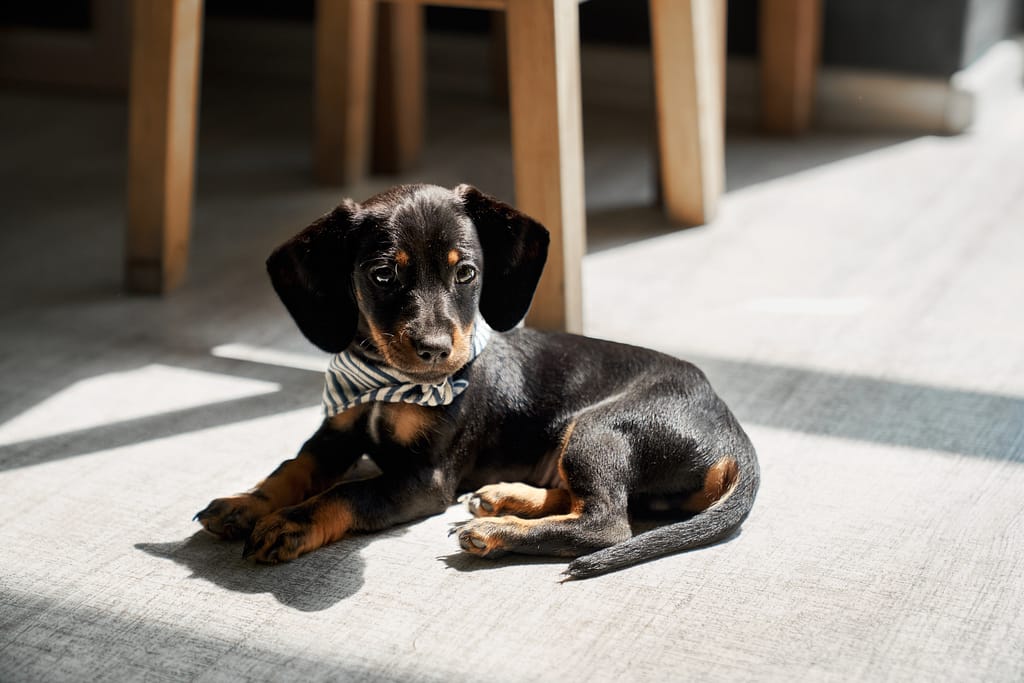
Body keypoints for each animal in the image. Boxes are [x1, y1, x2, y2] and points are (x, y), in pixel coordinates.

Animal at [195, 184, 757, 581]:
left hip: (600, 428)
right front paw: (247, 503)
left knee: (606, 523)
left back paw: (496, 529)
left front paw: (290, 523)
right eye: (382, 275)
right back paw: (504, 498)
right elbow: (292, 469)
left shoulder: (425, 479)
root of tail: (734, 436)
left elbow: (348, 493)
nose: (435, 350)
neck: (387, 382)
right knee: (588, 501)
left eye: (465, 272)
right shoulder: (337, 431)